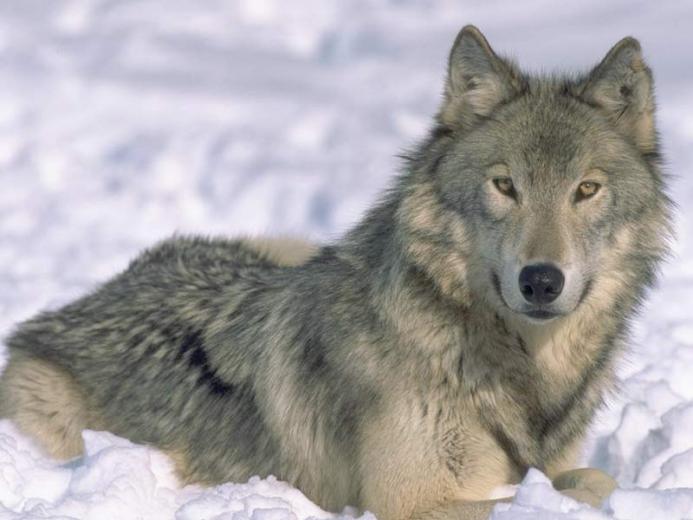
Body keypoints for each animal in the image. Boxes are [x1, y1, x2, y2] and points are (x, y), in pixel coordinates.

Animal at [0, 25, 671, 520]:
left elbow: (589, 476)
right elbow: (583, 489)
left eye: (586, 189)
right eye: (505, 186)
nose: (541, 281)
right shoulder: (414, 502)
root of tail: (86, 300)